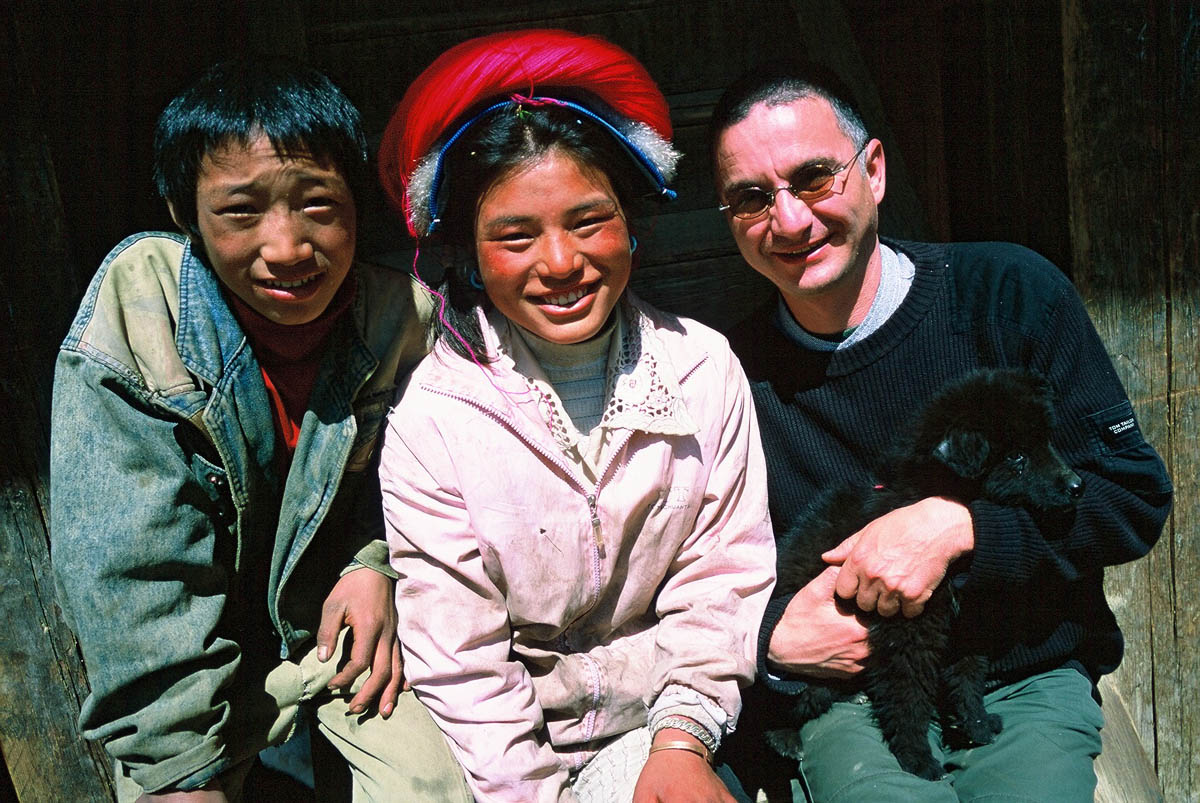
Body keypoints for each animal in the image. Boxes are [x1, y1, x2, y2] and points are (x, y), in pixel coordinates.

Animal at [766, 368, 1085, 780]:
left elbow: (968, 676)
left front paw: (977, 724)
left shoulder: (969, 621)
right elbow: (909, 694)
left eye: (1047, 440)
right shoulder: (906, 629)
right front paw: (916, 757)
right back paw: (784, 736)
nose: (1078, 486)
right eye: (1017, 456)